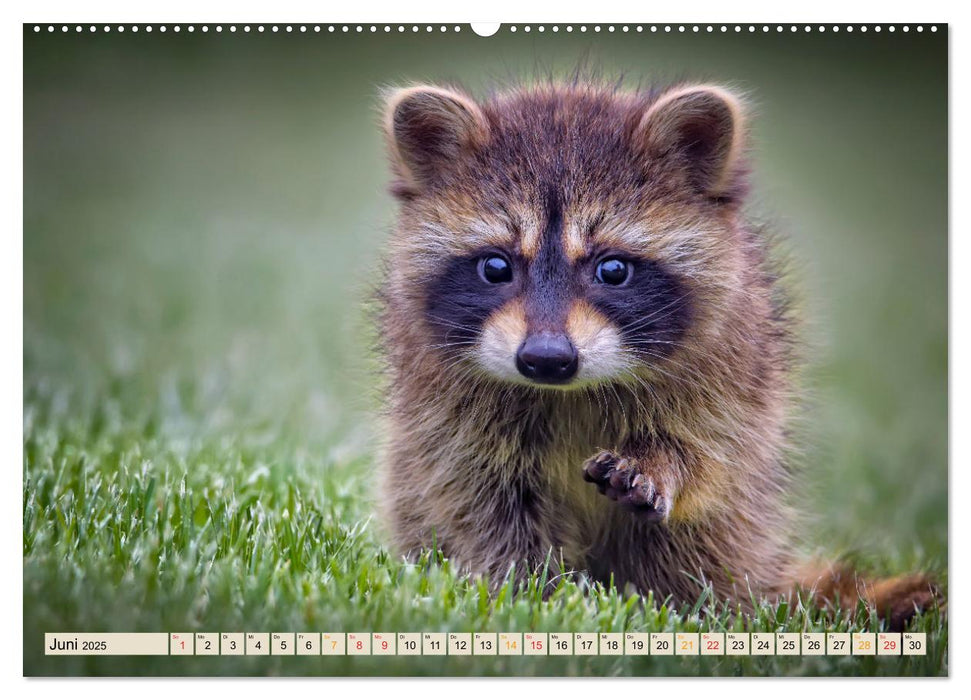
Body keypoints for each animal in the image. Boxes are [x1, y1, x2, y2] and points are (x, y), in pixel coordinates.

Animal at [376, 78, 936, 628]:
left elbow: (711, 450)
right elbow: (477, 496)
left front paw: (662, 463)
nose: (547, 358)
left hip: (742, 531)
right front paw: (529, 591)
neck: (571, 391)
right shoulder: (444, 406)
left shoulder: (732, 363)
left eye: (613, 269)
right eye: (496, 267)